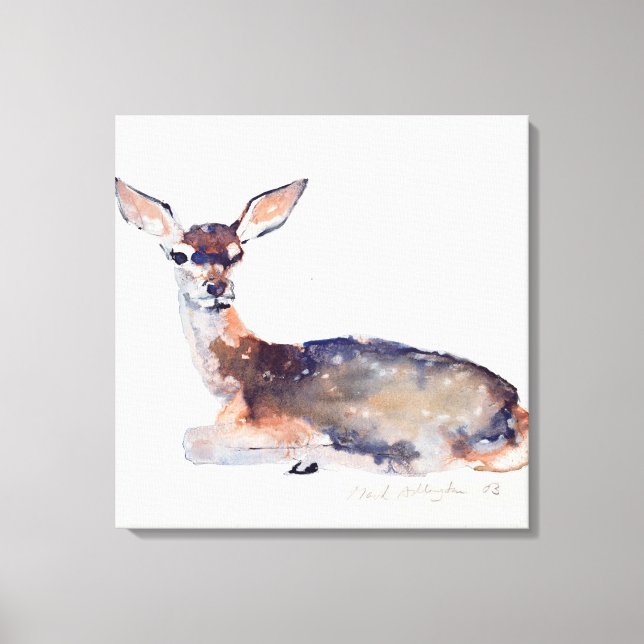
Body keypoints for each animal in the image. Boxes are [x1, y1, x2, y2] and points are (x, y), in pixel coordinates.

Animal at [116, 178, 528, 476]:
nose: (217, 287)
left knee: (419, 461)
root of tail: (513, 406)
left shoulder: (279, 420)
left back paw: (315, 458)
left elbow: (192, 440)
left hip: (413, 424)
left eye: (237, 253)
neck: (239, 373)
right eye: (179, 254)